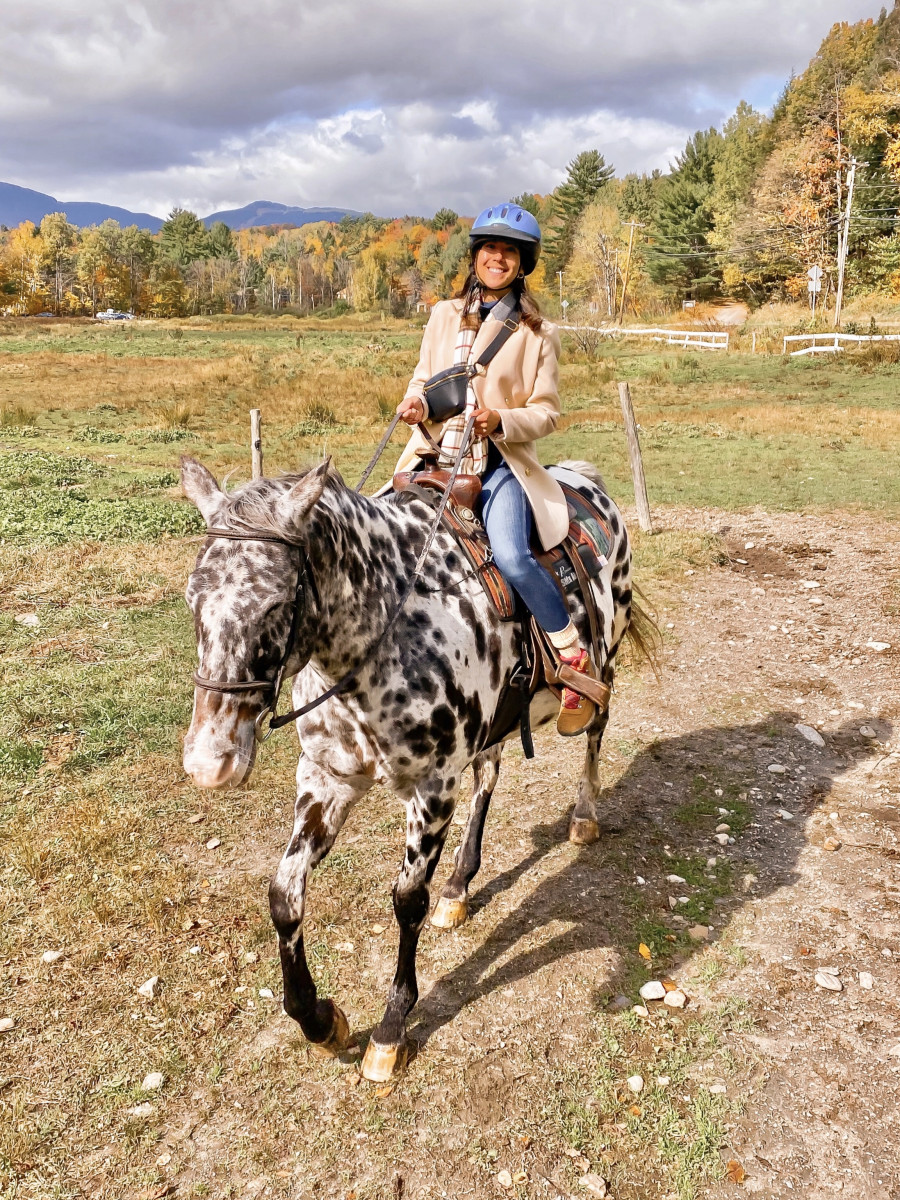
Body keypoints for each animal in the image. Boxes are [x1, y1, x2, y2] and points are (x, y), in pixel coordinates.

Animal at [181, 453, 643, 1084]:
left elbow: (406, 902)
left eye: (275, 603)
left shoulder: (432, 789)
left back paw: (584, 816)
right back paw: (459, 884)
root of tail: (582, 476)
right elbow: (284, 895)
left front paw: (391, 1027)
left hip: (606, 658)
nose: (211, 762)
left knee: (595, 731)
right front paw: (320, 1020)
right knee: (489, 776)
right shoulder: (326, 780)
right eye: (191, 599)